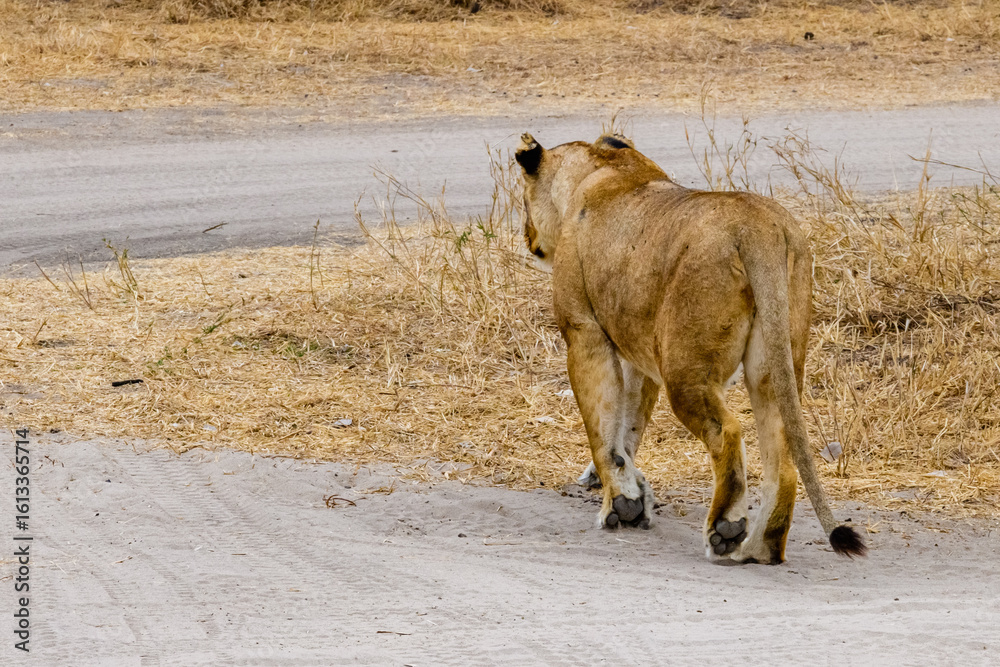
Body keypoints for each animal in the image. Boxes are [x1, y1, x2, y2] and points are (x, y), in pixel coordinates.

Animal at [515, 131, 866, 563]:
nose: (527, 236)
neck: (602, 165)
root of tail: (758, 229)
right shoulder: (638, 355)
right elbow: (627, 426)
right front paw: (631, 492)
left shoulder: (584, 333)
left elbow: (603, 427)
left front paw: (620, 505)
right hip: (773, 361)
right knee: (783, 453)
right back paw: (760, 548)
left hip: (685, 369)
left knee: (728, 432)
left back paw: (726, 528)